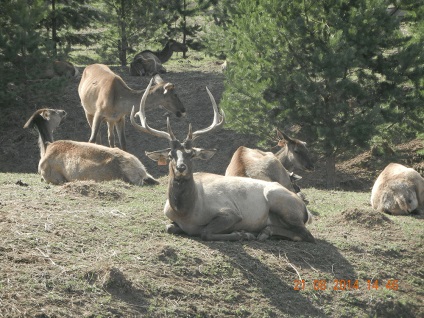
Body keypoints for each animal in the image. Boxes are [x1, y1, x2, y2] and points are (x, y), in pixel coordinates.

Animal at [129, 80, 314, 243]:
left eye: (192, 154)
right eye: (170, 155)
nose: (181, 167)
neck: (186, 212)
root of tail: (305, 210)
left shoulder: (230, 212)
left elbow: (205, 232)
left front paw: (242, 234)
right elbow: (169, 227)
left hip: (279, 200)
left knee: (306, 234)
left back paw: (262, 233)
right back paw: (264, 232)